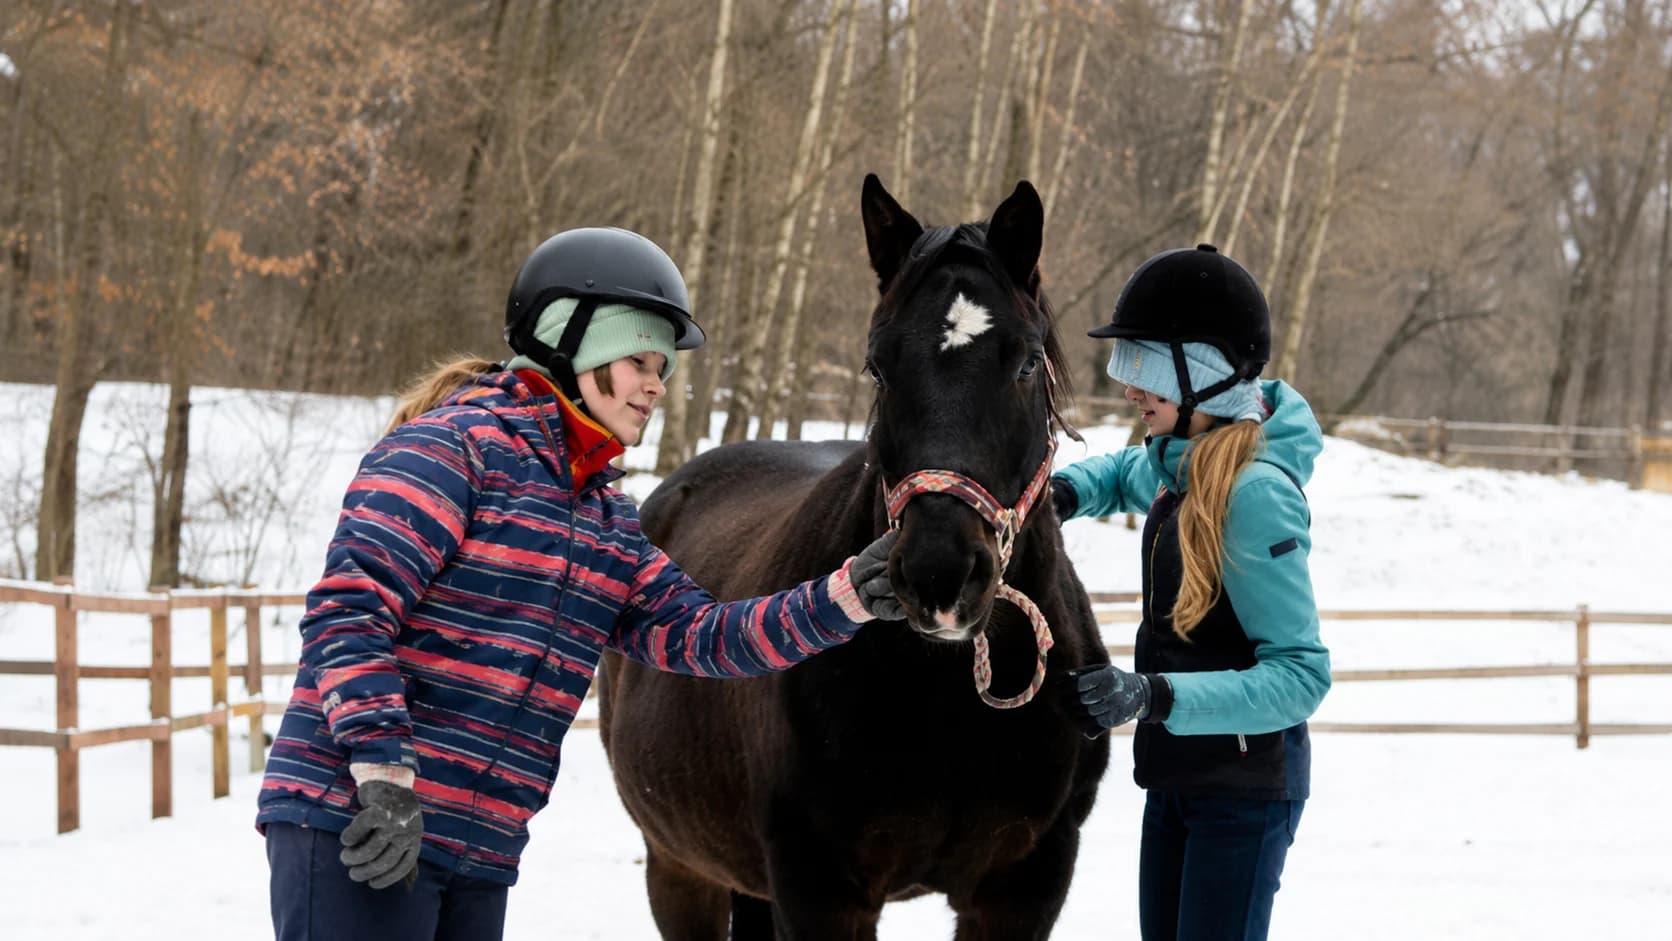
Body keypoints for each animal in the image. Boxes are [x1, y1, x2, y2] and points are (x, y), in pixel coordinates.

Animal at [597, 174, 1111, 939]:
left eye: (1024, 362)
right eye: (878, 366)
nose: (939, 575)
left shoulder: (1023, 888)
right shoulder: (821, 891)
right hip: (681, 870)